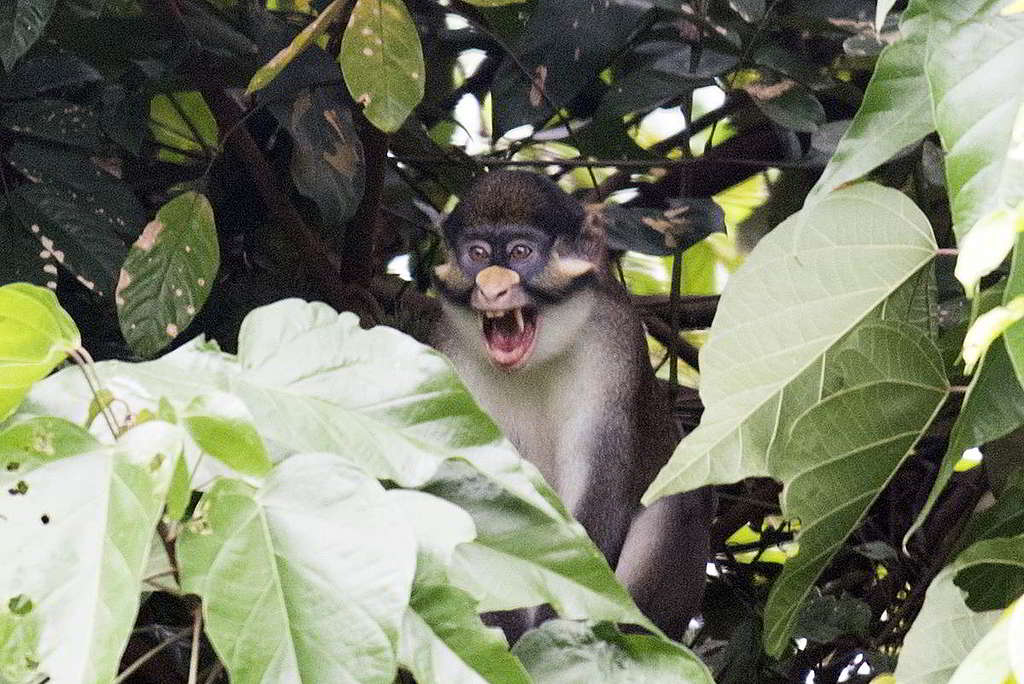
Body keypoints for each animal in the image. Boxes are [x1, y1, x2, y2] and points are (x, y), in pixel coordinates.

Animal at [430, 171, 712, 643]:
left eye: (521, 253)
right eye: (478, 254)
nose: (490, 287)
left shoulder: (613, 345)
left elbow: (601, 488)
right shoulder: (451, 356)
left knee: (681, 500)